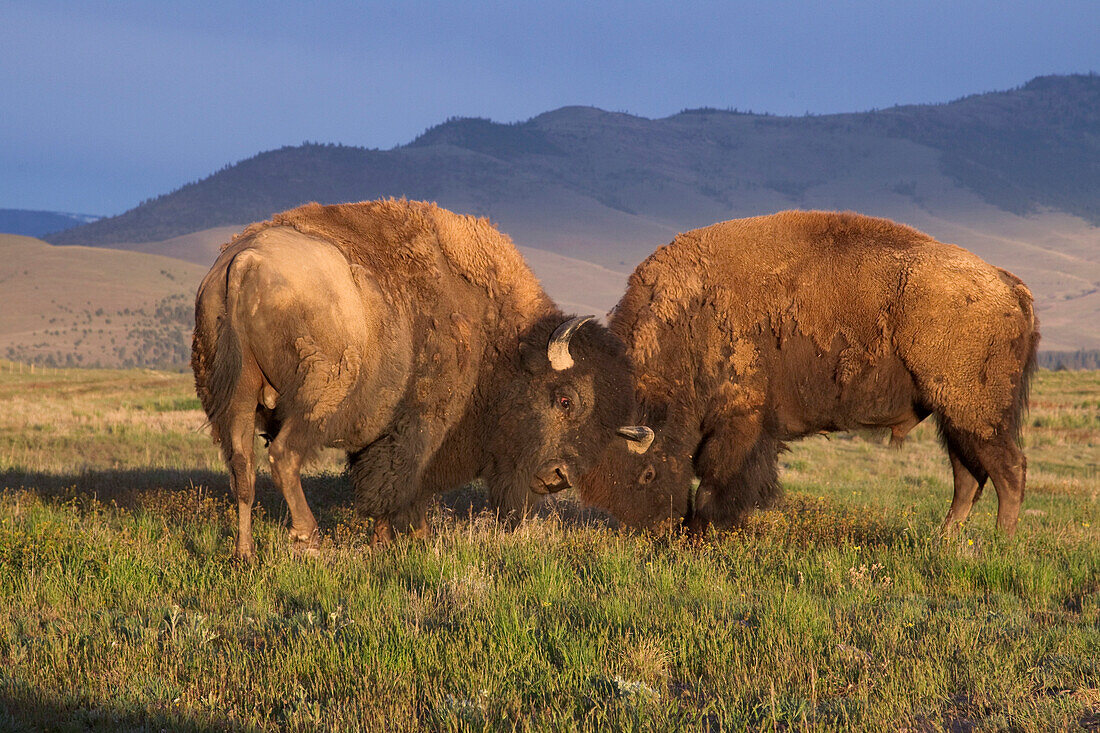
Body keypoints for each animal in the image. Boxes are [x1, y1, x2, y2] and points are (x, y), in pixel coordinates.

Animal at [192, 197, 646, 556]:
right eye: (565, 399)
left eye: (604, 428)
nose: (558, 477)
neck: (499, 338)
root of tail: (246, 262)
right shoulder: (422, 425)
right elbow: (403, 484)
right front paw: (410, 539)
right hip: (316, 401)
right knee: (284, 455)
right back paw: (310, 540)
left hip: (233, 397)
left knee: (242, 467)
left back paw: (245, 554)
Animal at [576, 208, 1038, 534]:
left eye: (647, 472)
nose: (659, 528)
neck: (690, 316)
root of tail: (1009, 284)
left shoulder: (740, 421)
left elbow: (715, 481)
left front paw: (702, 530)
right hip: (955, 419)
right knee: (968, 478)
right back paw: (944, 541)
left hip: (975, 414)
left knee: (1008, 471)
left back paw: (999, 544)